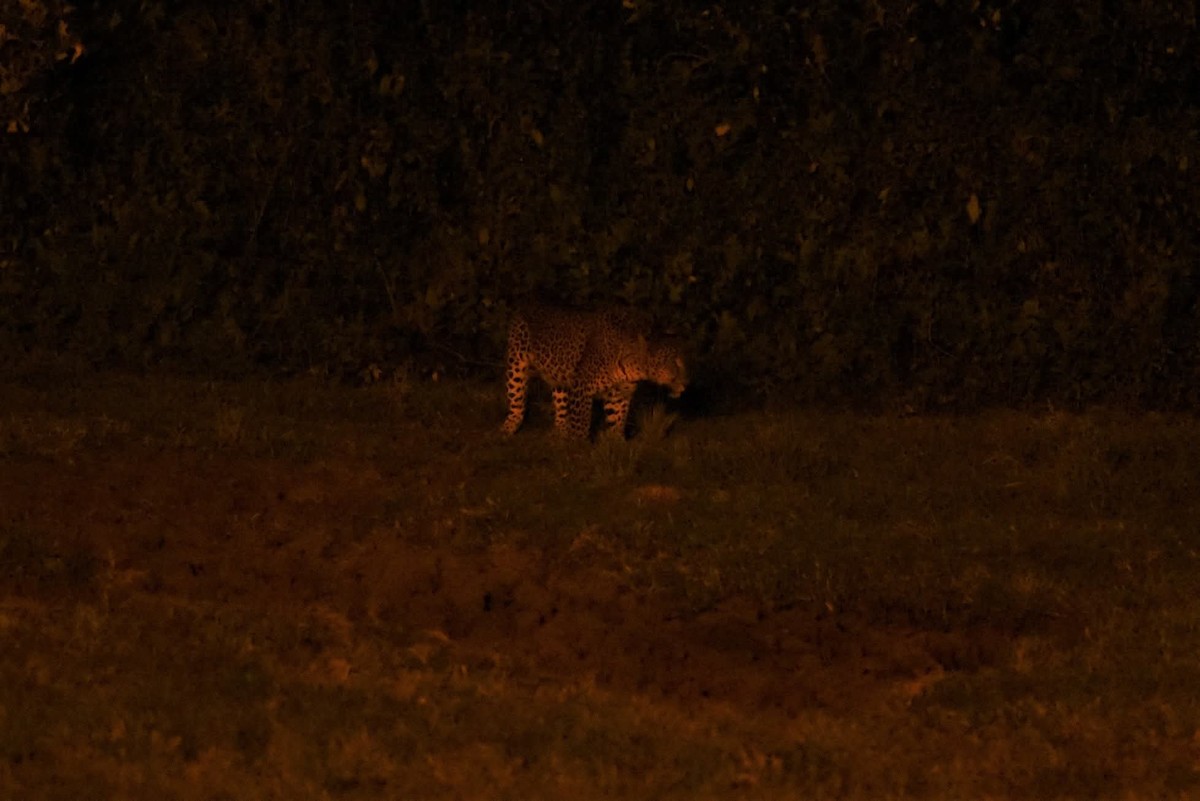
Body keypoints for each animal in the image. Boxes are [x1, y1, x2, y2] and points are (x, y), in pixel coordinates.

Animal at [500, 304, 688, 439]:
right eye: (675, 362)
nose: (687, 383)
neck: (636, 367)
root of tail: (523, 306)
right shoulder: (582, 388)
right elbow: (581, 423)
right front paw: (577, 449)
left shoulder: (619, 393)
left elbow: (618, 420)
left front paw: (616, 446)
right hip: (516, 367)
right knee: (516, 402)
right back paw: (507, 430)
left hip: (562, 380)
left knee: (561, 406)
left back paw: (561, 433)